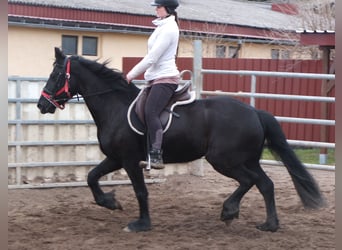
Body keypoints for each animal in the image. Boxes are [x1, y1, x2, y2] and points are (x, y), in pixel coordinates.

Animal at [37, 48, 326, 232]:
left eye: (55, 75)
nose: (42, 105)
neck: (115, 106)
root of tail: (255, 112)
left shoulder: (129, 161)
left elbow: (140, 191)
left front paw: (141, 224)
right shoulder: (115, 158)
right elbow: (91, 177)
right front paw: (110, 202)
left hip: (224, 160)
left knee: (250, 181)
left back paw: (229, 211)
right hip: (246, 160)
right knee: (265, 184)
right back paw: (269, 225)